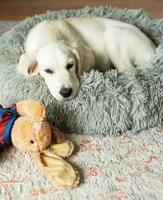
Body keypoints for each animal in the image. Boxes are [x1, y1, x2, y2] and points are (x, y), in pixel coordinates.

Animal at [17, 17, 156, 101]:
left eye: (70, 65)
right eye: (48, 71)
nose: (66, 93)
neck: (51, 35)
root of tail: (153, 49)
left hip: (111, 34)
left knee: (127, 70)